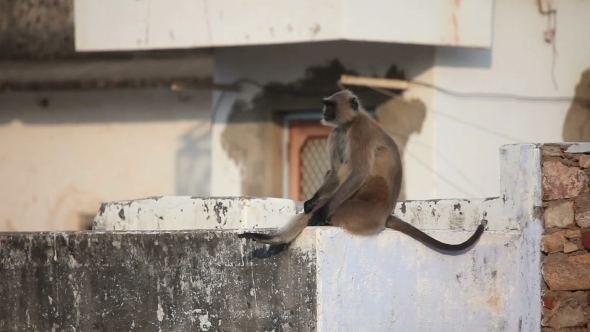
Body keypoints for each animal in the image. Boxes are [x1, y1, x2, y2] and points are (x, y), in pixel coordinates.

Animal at [238, 89, 488, 250]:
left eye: (330, 105)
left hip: (365, 212)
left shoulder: (360, 132)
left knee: (344, 201)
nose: (324, 112)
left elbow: (358, 173)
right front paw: (311, 202)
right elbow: (333, 172)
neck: (348, 124)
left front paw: (319, 212)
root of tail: (385, 214)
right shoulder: (336, 132)